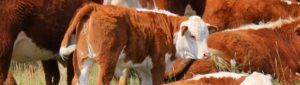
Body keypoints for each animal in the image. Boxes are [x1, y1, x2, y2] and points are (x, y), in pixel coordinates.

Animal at [58, 2, 214, 84]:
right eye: (192, 36)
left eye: (206, 35)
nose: (206, 54)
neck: (168, 29)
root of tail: (96, 7)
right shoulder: (158, 65)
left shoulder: (144, 69)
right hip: (107, 63)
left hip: (83, 60)